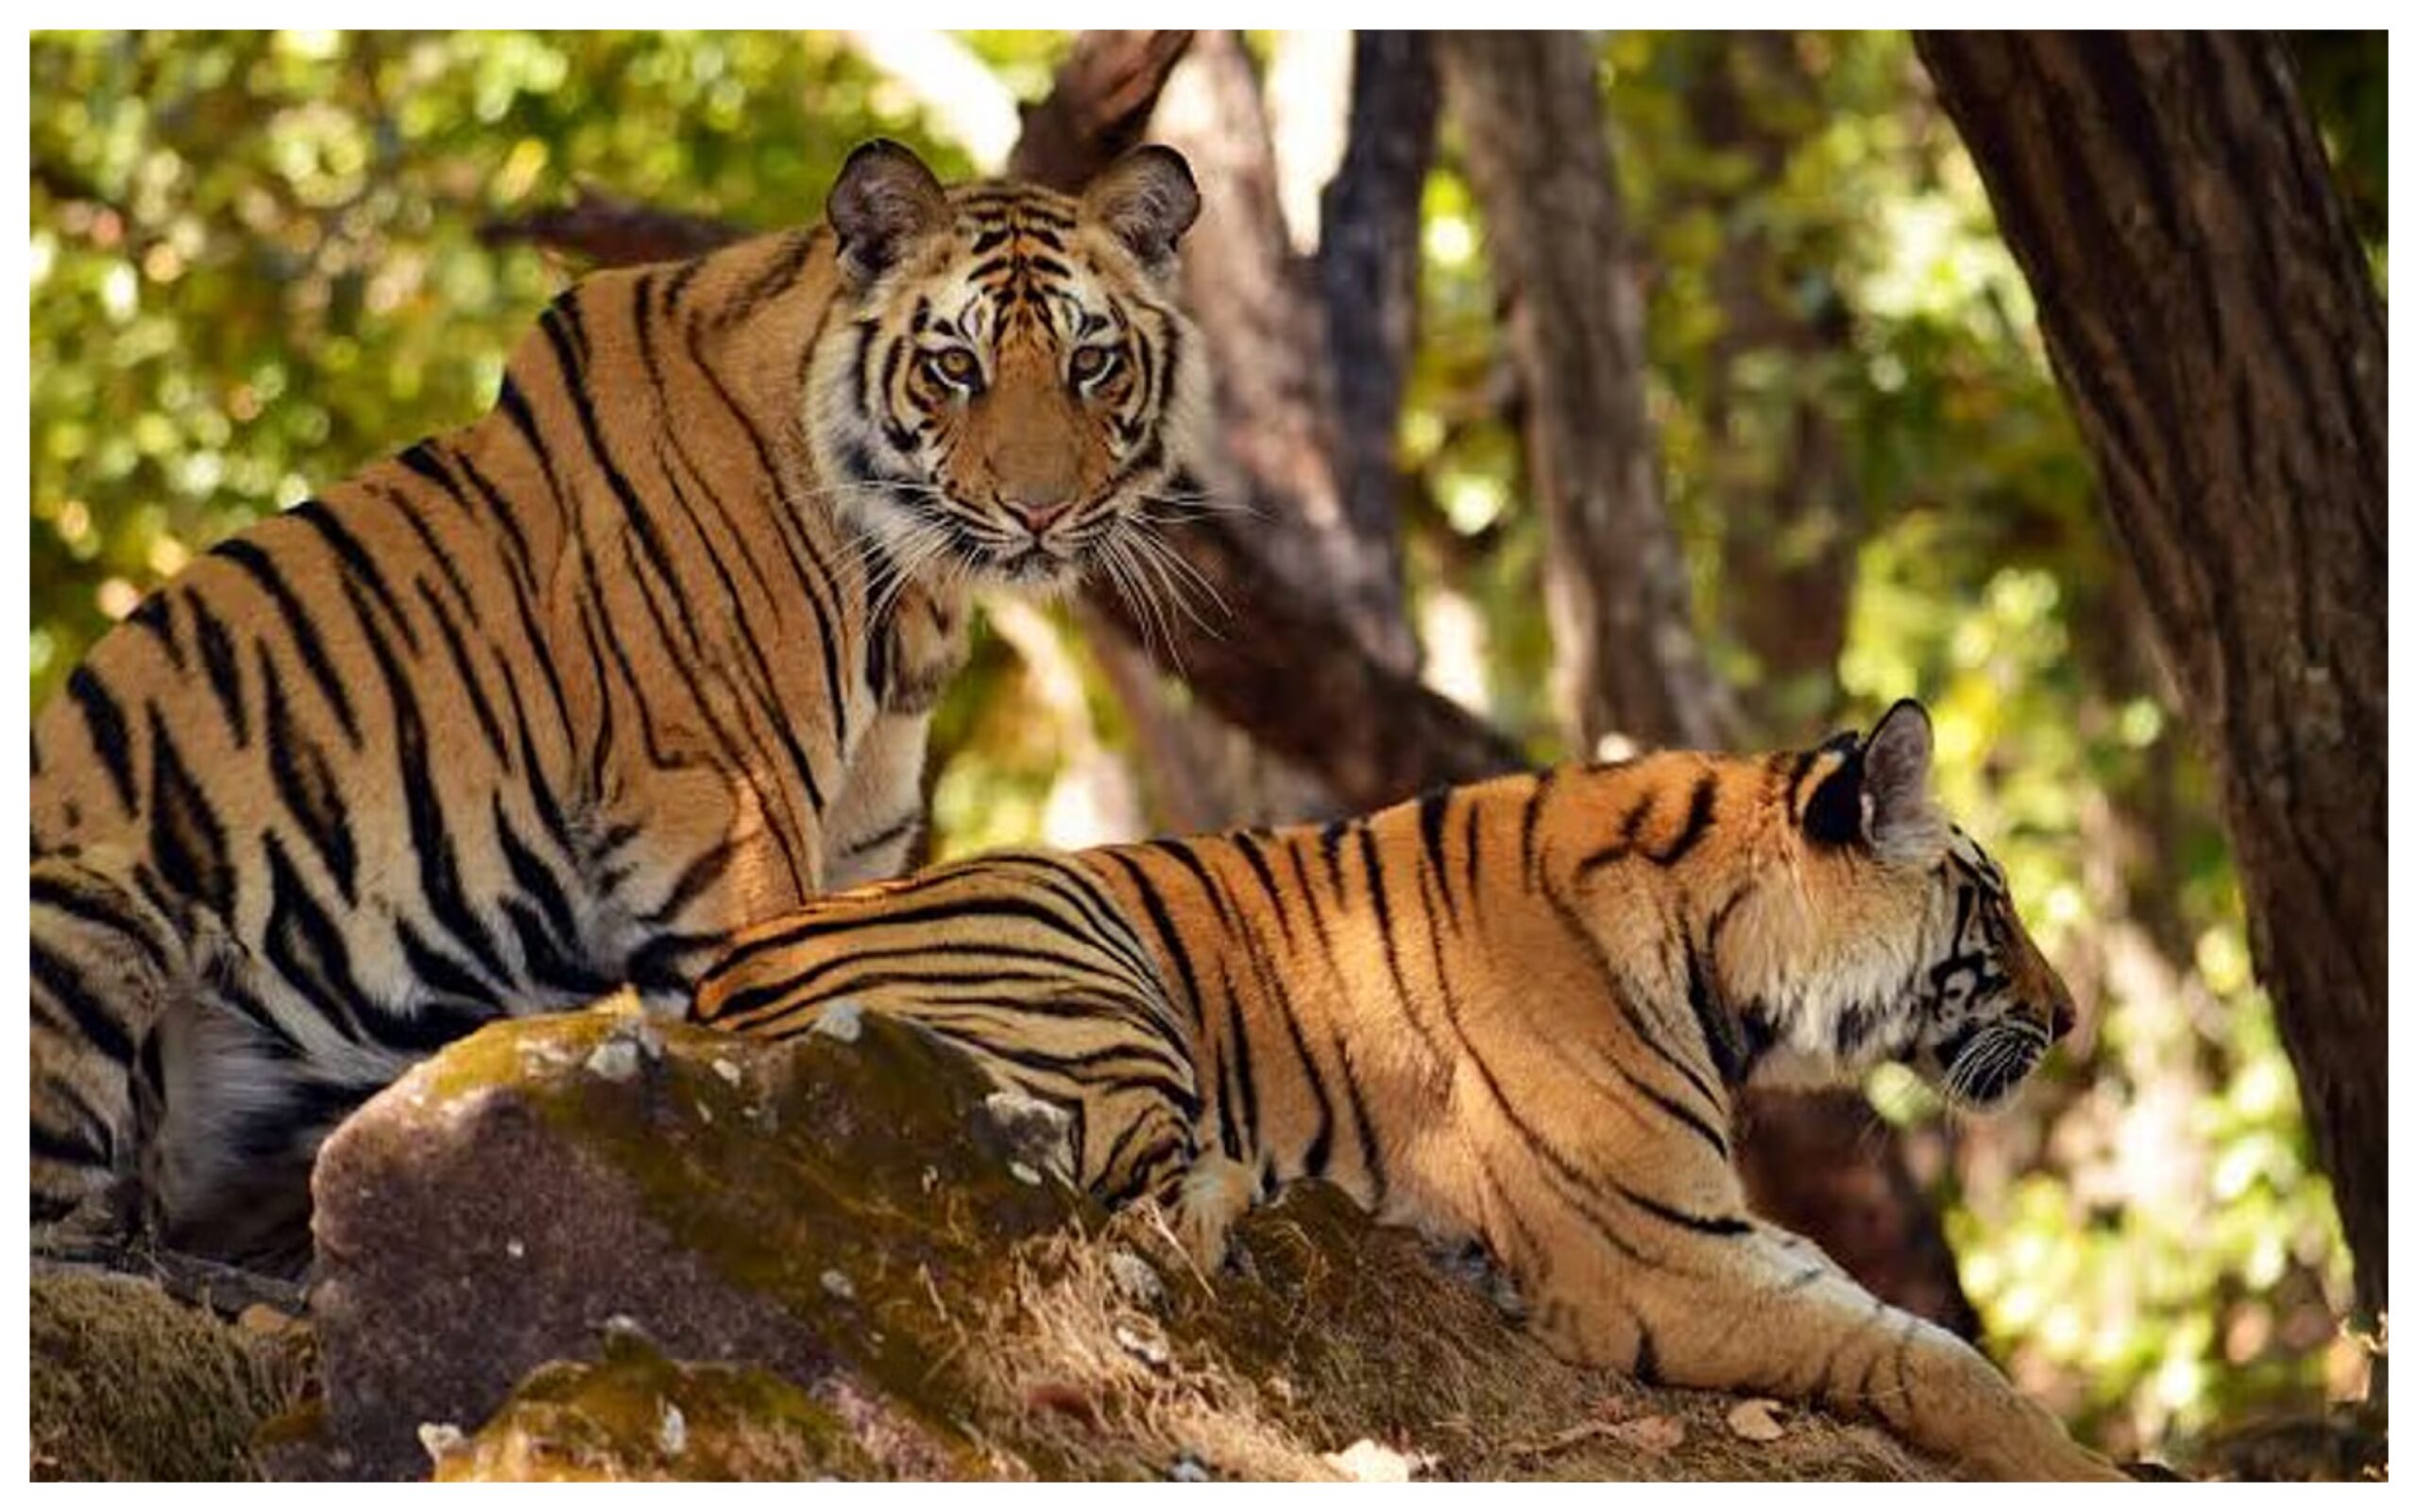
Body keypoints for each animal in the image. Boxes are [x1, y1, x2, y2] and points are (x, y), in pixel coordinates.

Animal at [30, 138, 1213, 1271]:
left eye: (1091, 360)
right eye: (955, 365)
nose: (1040, 510)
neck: (905, 597)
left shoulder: (858, 854)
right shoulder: (729, 825)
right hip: (91, 910)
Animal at [693, 699, 2122, 1479]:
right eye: (1992, 905)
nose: (2070, 1016)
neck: (1718, 952)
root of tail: (715, 988)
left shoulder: (1706, 1227)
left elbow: (1901, 1328)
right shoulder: (1658, 1258)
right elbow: (1931, 1361)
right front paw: (2078, 1463)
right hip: (1070, 937)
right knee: (1145, 1192)